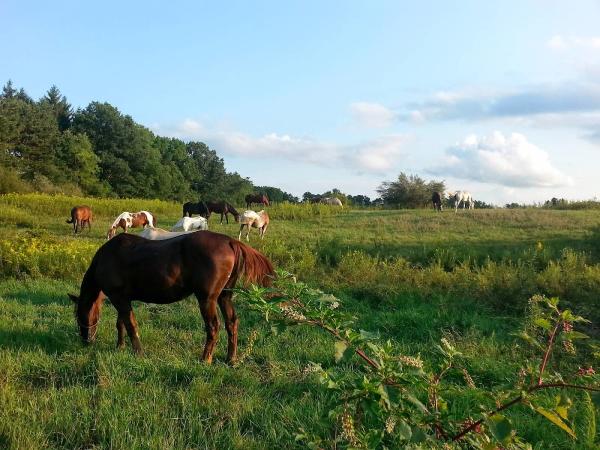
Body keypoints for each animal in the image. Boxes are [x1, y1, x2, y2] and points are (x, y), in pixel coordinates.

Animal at [68, 230, 274, 364]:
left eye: (79, 316)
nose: (86, 340)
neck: (107, 257)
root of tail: (230, 241)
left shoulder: (119, 298)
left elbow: (131, 325)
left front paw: (138, 353)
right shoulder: (122, 298)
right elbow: (121, 324)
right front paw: (120, 346)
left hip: (207, 299)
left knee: (213, 327)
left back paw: (205, 359)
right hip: (224, 296)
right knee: (232, 323)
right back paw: (231, 359)